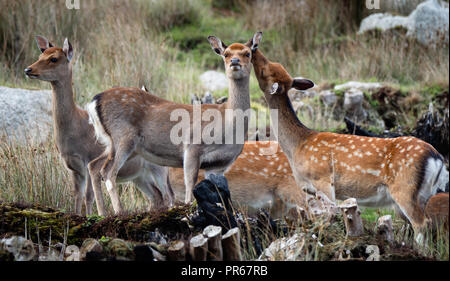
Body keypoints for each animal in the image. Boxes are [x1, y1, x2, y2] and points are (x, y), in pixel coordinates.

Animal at [86, 32, 262, 212]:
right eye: (226, 54)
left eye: (247, 53)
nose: (235, 61)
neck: (228, 126)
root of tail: (93, 102)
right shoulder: (192, 147)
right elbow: (190, 186)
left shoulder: (218, 165)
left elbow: (220, 191)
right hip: (123, 136)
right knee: (108, 173)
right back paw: (119, 212)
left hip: (118, 145)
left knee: (94, 166)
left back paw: (102, 213)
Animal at [250, 32, 450, 238]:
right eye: (275, 65)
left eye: (265, 71)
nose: (254, 47)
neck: (298, 145)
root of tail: (437, 158)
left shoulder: (323, 179)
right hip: (424, 193)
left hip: (405, 188)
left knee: (421, 223)